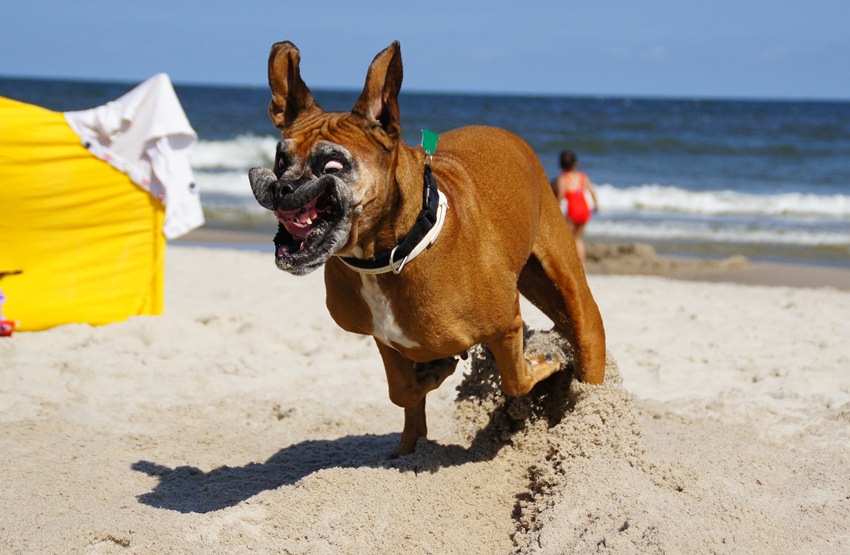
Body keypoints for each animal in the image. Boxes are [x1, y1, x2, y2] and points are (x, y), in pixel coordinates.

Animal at [245, 40, 604, 456]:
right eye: (280, 159)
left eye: (332, 166)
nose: (282, 187)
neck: (392, 255)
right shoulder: (386, 340)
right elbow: (403, 391)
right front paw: (433, 374)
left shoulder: (506, 327)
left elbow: (516, 379)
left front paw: (544, 358)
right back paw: (409, 446)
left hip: (574, 300)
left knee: (585, 352)